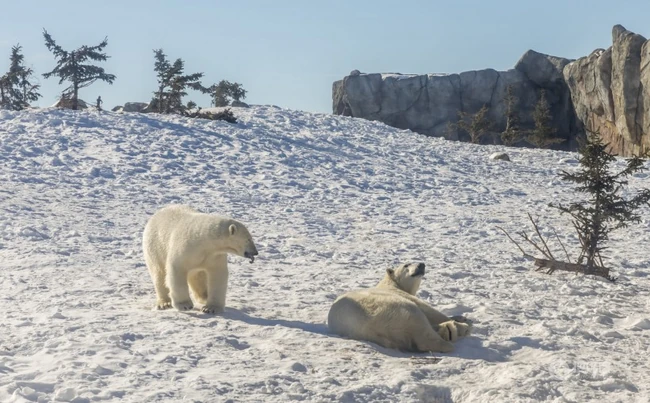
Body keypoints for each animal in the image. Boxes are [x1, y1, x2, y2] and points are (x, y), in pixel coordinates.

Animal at [327, 262, 472, 353]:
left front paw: (459, 317)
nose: (421, 264)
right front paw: (462, 321)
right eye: (406, 265)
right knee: (421, 327)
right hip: (393, 309)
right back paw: (455, 332)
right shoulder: (399, 294)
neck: (390, 283)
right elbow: (429, 310)